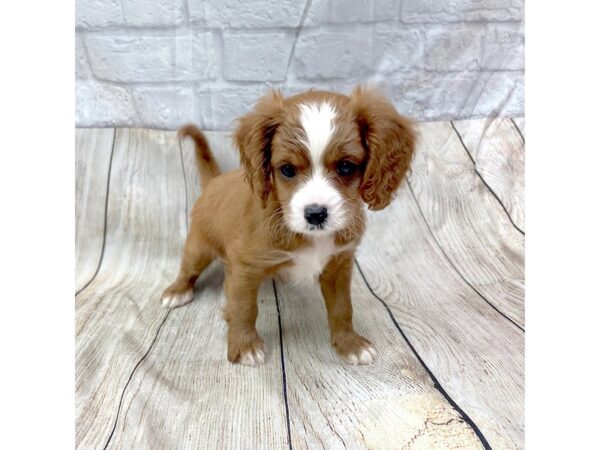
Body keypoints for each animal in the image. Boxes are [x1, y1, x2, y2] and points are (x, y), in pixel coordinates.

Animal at [164, 85, 418, 366]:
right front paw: (244, 346)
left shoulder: (339, 264)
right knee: (188, 268)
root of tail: (215, 181)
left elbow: (343, 307)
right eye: (287, 169)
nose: (316, 214)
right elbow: (244, 307)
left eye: (345, 167)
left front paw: (349, 344)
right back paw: (177, 290)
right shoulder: (245, 267)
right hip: (198, 245)